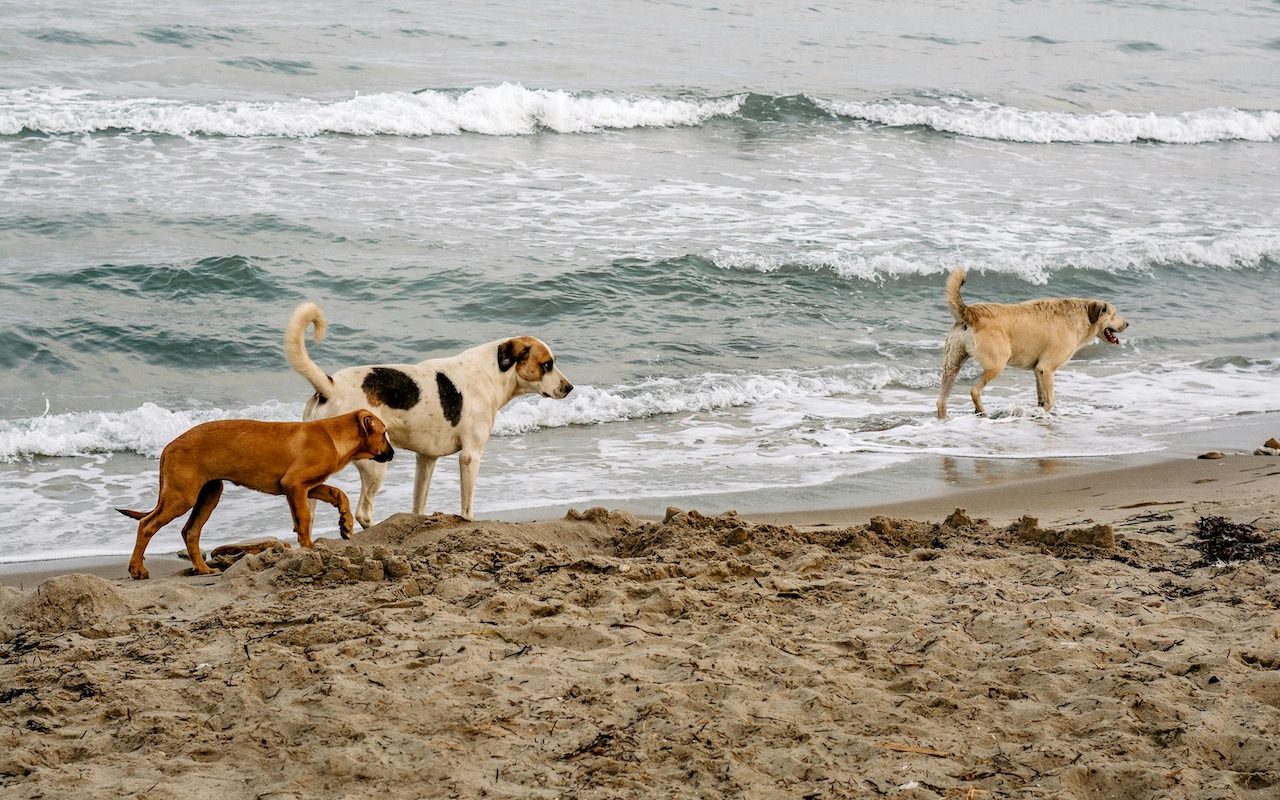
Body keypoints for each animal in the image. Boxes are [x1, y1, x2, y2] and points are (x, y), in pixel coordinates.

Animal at [119, 409, 389, 576]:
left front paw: (345, 522)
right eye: (385, 433)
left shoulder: (308, 486)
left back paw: (203, 569)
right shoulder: (295, 484)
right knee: (147, 525)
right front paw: (308, 548)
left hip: (208, 493)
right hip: (182, 496)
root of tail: (168, 446)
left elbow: (338, 493)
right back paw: (137, 570)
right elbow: (304, 519)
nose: (392, 453)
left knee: (190, 531)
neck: (333, 436)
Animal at [290, 299, 576, 524]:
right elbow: (467, 507)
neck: (493, 372)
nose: (569, 387)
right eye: (547, 365)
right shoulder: (470, 457)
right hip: (375, 464)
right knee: (364, 514)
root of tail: (330, 386)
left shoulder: (426, 459)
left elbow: (418, 503)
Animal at [936, 268, 1126, 417]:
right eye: (1114, 314)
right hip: (997, 364)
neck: (1082, 317)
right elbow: (1050, 401)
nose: (1127, 324)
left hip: (952, 365)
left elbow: (1042, 398)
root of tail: (970, 312)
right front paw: (1038, 412)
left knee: (941, 401)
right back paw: (982, 412)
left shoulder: (1038, 370)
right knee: (975, 391)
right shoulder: (1046, 369)